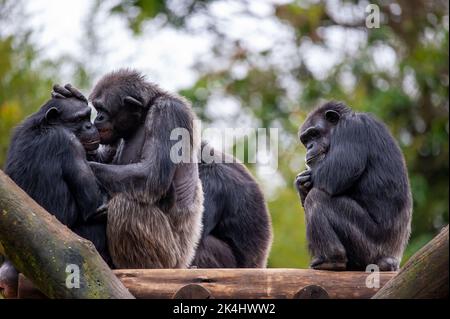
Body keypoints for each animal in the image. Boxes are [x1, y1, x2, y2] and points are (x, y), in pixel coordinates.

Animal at [0, 86, 109, 298]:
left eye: (87, 116)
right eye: (78, 119)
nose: (89, 126)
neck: (44, 126)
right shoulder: (70, 143)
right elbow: (96, 205)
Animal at [56, 70, 274, 270]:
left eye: (103, 109)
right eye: (96, 108)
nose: (99, 118)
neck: (144, 114)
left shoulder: (168, 114)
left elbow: (150, 175)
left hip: (172, 256)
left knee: (127, 205)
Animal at [296, 101, 412, 272]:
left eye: (314, 134)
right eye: (306, 139)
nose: (309, 146)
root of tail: (393, 260)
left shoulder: (352, 129)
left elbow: (334, 175)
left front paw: (301, 182)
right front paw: (302, 183)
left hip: (370, 247)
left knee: (317, 198)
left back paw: (330, 259)